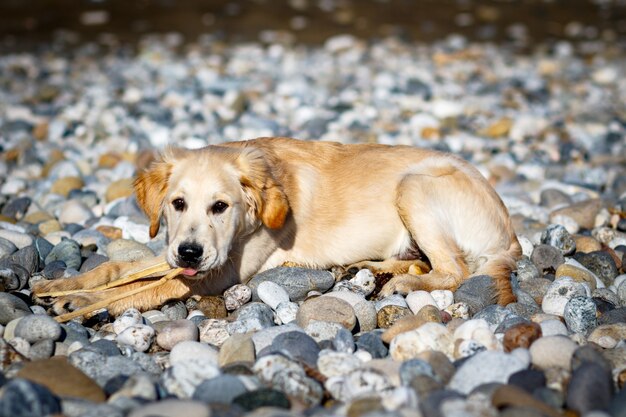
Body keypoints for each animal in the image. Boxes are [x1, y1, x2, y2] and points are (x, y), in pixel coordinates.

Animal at [35, 137, 520, 316]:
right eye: (177, 204)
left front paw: (85, 304)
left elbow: (149, 288)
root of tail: (511, 234)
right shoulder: (181, 253)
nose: (190, 252)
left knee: (454, 270)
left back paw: (403, 285)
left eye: (220, 207)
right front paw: (64, 286)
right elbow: (119, 270)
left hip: (414, 186)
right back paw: (371, 269)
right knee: (423, 262)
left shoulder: (219, 272)